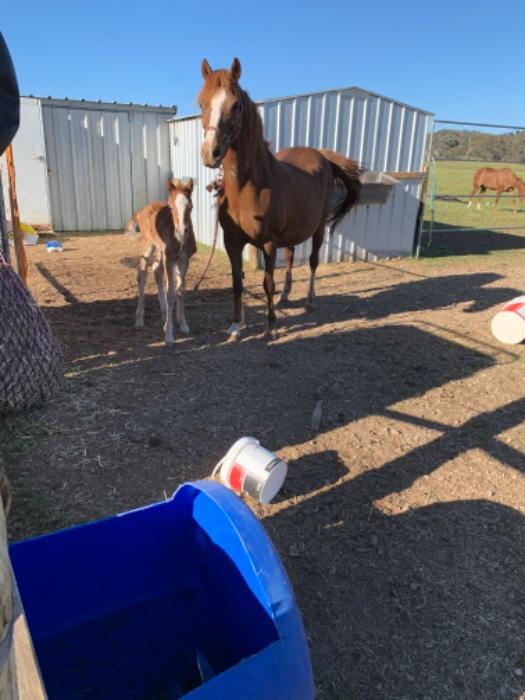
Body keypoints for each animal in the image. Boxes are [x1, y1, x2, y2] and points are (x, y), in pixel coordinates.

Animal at [125, 178, 196, 344]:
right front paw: (169, 334)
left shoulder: (183, 260)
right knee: (142, 273)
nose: (181, 232)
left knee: (156, 269)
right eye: (170, 207)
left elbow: (180, 290)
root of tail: (141, 210)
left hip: (160, 250)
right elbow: (170, 293)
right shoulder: (169, 259)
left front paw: (183, 324)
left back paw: (164, 314)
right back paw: (139, 319)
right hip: (148, 245)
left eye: (190, 206)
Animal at [197, 57, 361, 341]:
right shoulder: (232, 242)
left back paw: (309, 301)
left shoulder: (268, 243)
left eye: (236, 104)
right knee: (292, 258)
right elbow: (237, 283)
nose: (211, 153)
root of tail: (323, 157)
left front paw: (271, 326)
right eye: (200, 102)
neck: (247, 187)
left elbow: (267, 283)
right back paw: (285, 296)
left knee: (313, 261)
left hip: (318, 228)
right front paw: (235, 327)